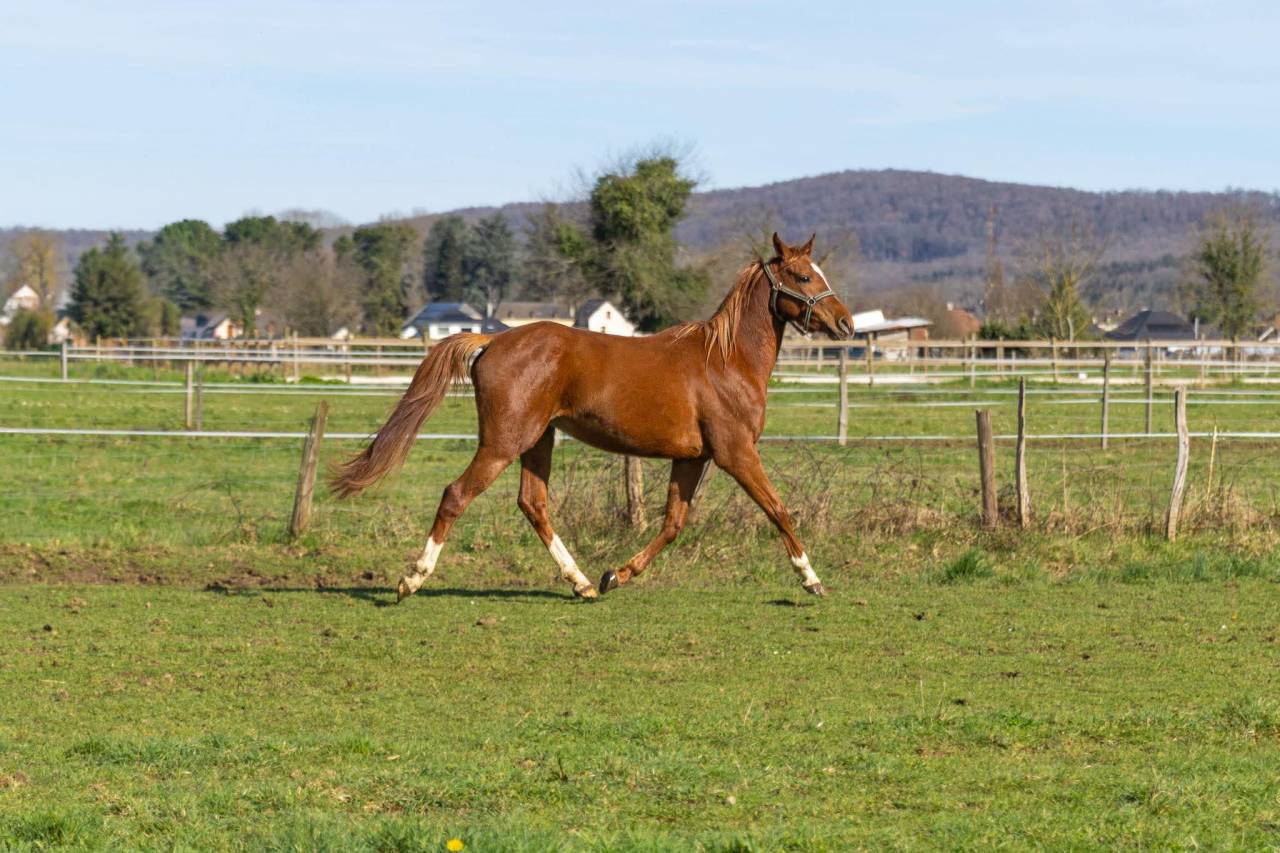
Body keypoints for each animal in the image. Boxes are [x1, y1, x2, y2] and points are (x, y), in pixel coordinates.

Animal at [331, 233, 854, 601]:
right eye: (803, 277)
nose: (846, 324)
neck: (726, 361)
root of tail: (492, 341)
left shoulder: (692, 458)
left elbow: (672, 524)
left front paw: (615, 575)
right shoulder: (735, 453)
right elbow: (778, 509)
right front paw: (811, 579)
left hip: (538, 441)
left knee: (533, 504)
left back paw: (581, 581)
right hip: (503, 443)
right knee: (456, 495)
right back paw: (412, 580)